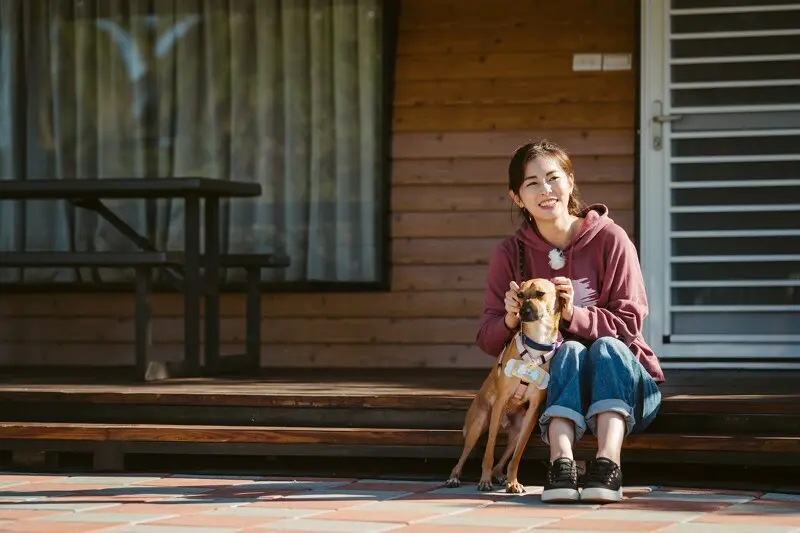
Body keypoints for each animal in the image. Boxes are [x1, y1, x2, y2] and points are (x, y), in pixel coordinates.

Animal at [444, 276, 564, 492]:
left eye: (540, 293)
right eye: (520, 295)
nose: (523, 312)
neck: (536, 346)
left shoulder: (532, 413)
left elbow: (516, 458)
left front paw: (513, 481)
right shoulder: (500, 402)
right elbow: (489, 451)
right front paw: (484, 480)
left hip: (516, 433)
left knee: (503, 461)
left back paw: (501, 476)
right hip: (479, 424)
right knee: (463, 456)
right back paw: (455, 478)